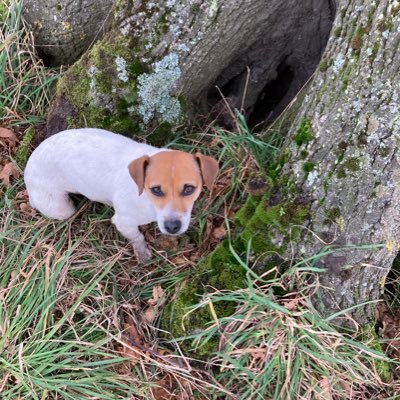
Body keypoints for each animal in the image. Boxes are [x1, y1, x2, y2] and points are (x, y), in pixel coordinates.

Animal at [24, 126, 219, 260]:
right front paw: (142, 253)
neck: (147, 200)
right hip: (62, 209)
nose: (172, 227)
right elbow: (137, 237)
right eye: (156, 189)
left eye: (189, 188)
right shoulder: (123, 222)